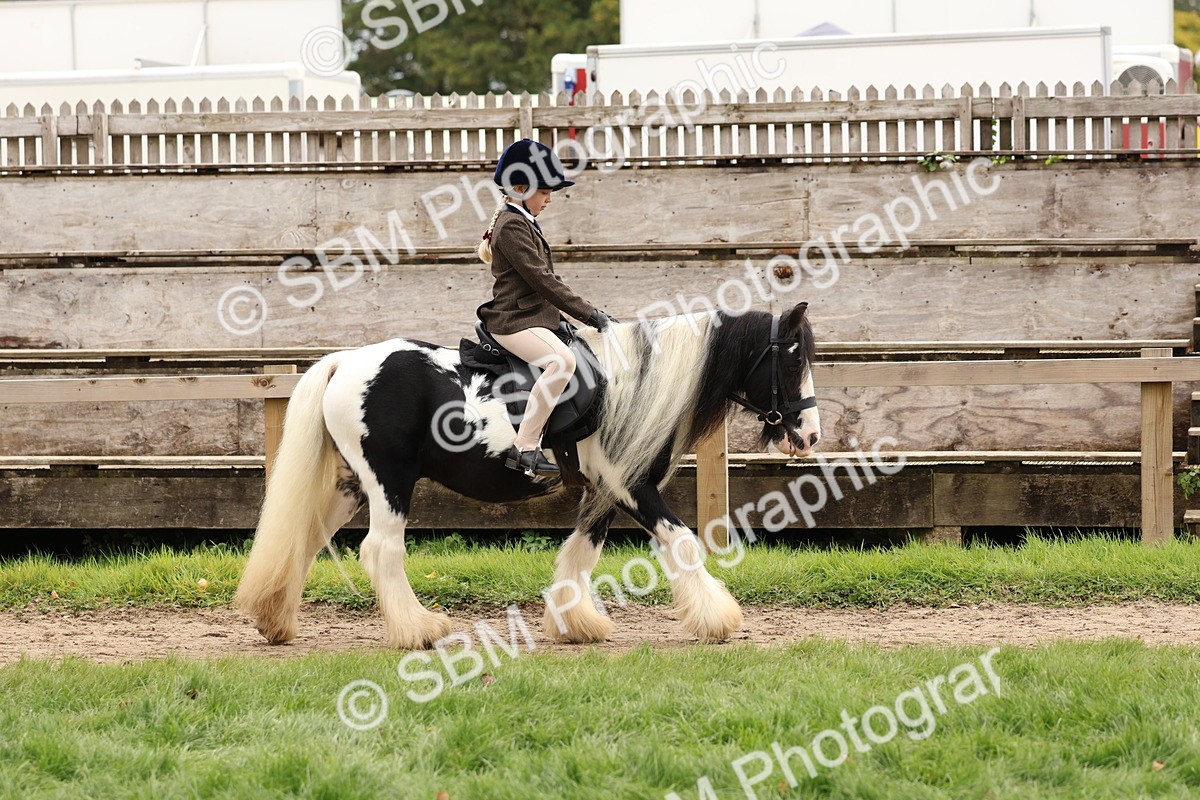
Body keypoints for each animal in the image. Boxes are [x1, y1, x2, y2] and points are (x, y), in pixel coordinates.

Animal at [235, 301, 820, 649]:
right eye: (792, 360)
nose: (811, 436)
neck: (634, 382)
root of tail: (346, 361)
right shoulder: (631, 487)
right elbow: (680, 542)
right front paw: (718, 618)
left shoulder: (605, 491)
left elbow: (581, 552)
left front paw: (574, 622)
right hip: (388, 482)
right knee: (381, 551)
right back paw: (418, 629)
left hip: (350, 486)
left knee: (303, 541)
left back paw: (275, 621)